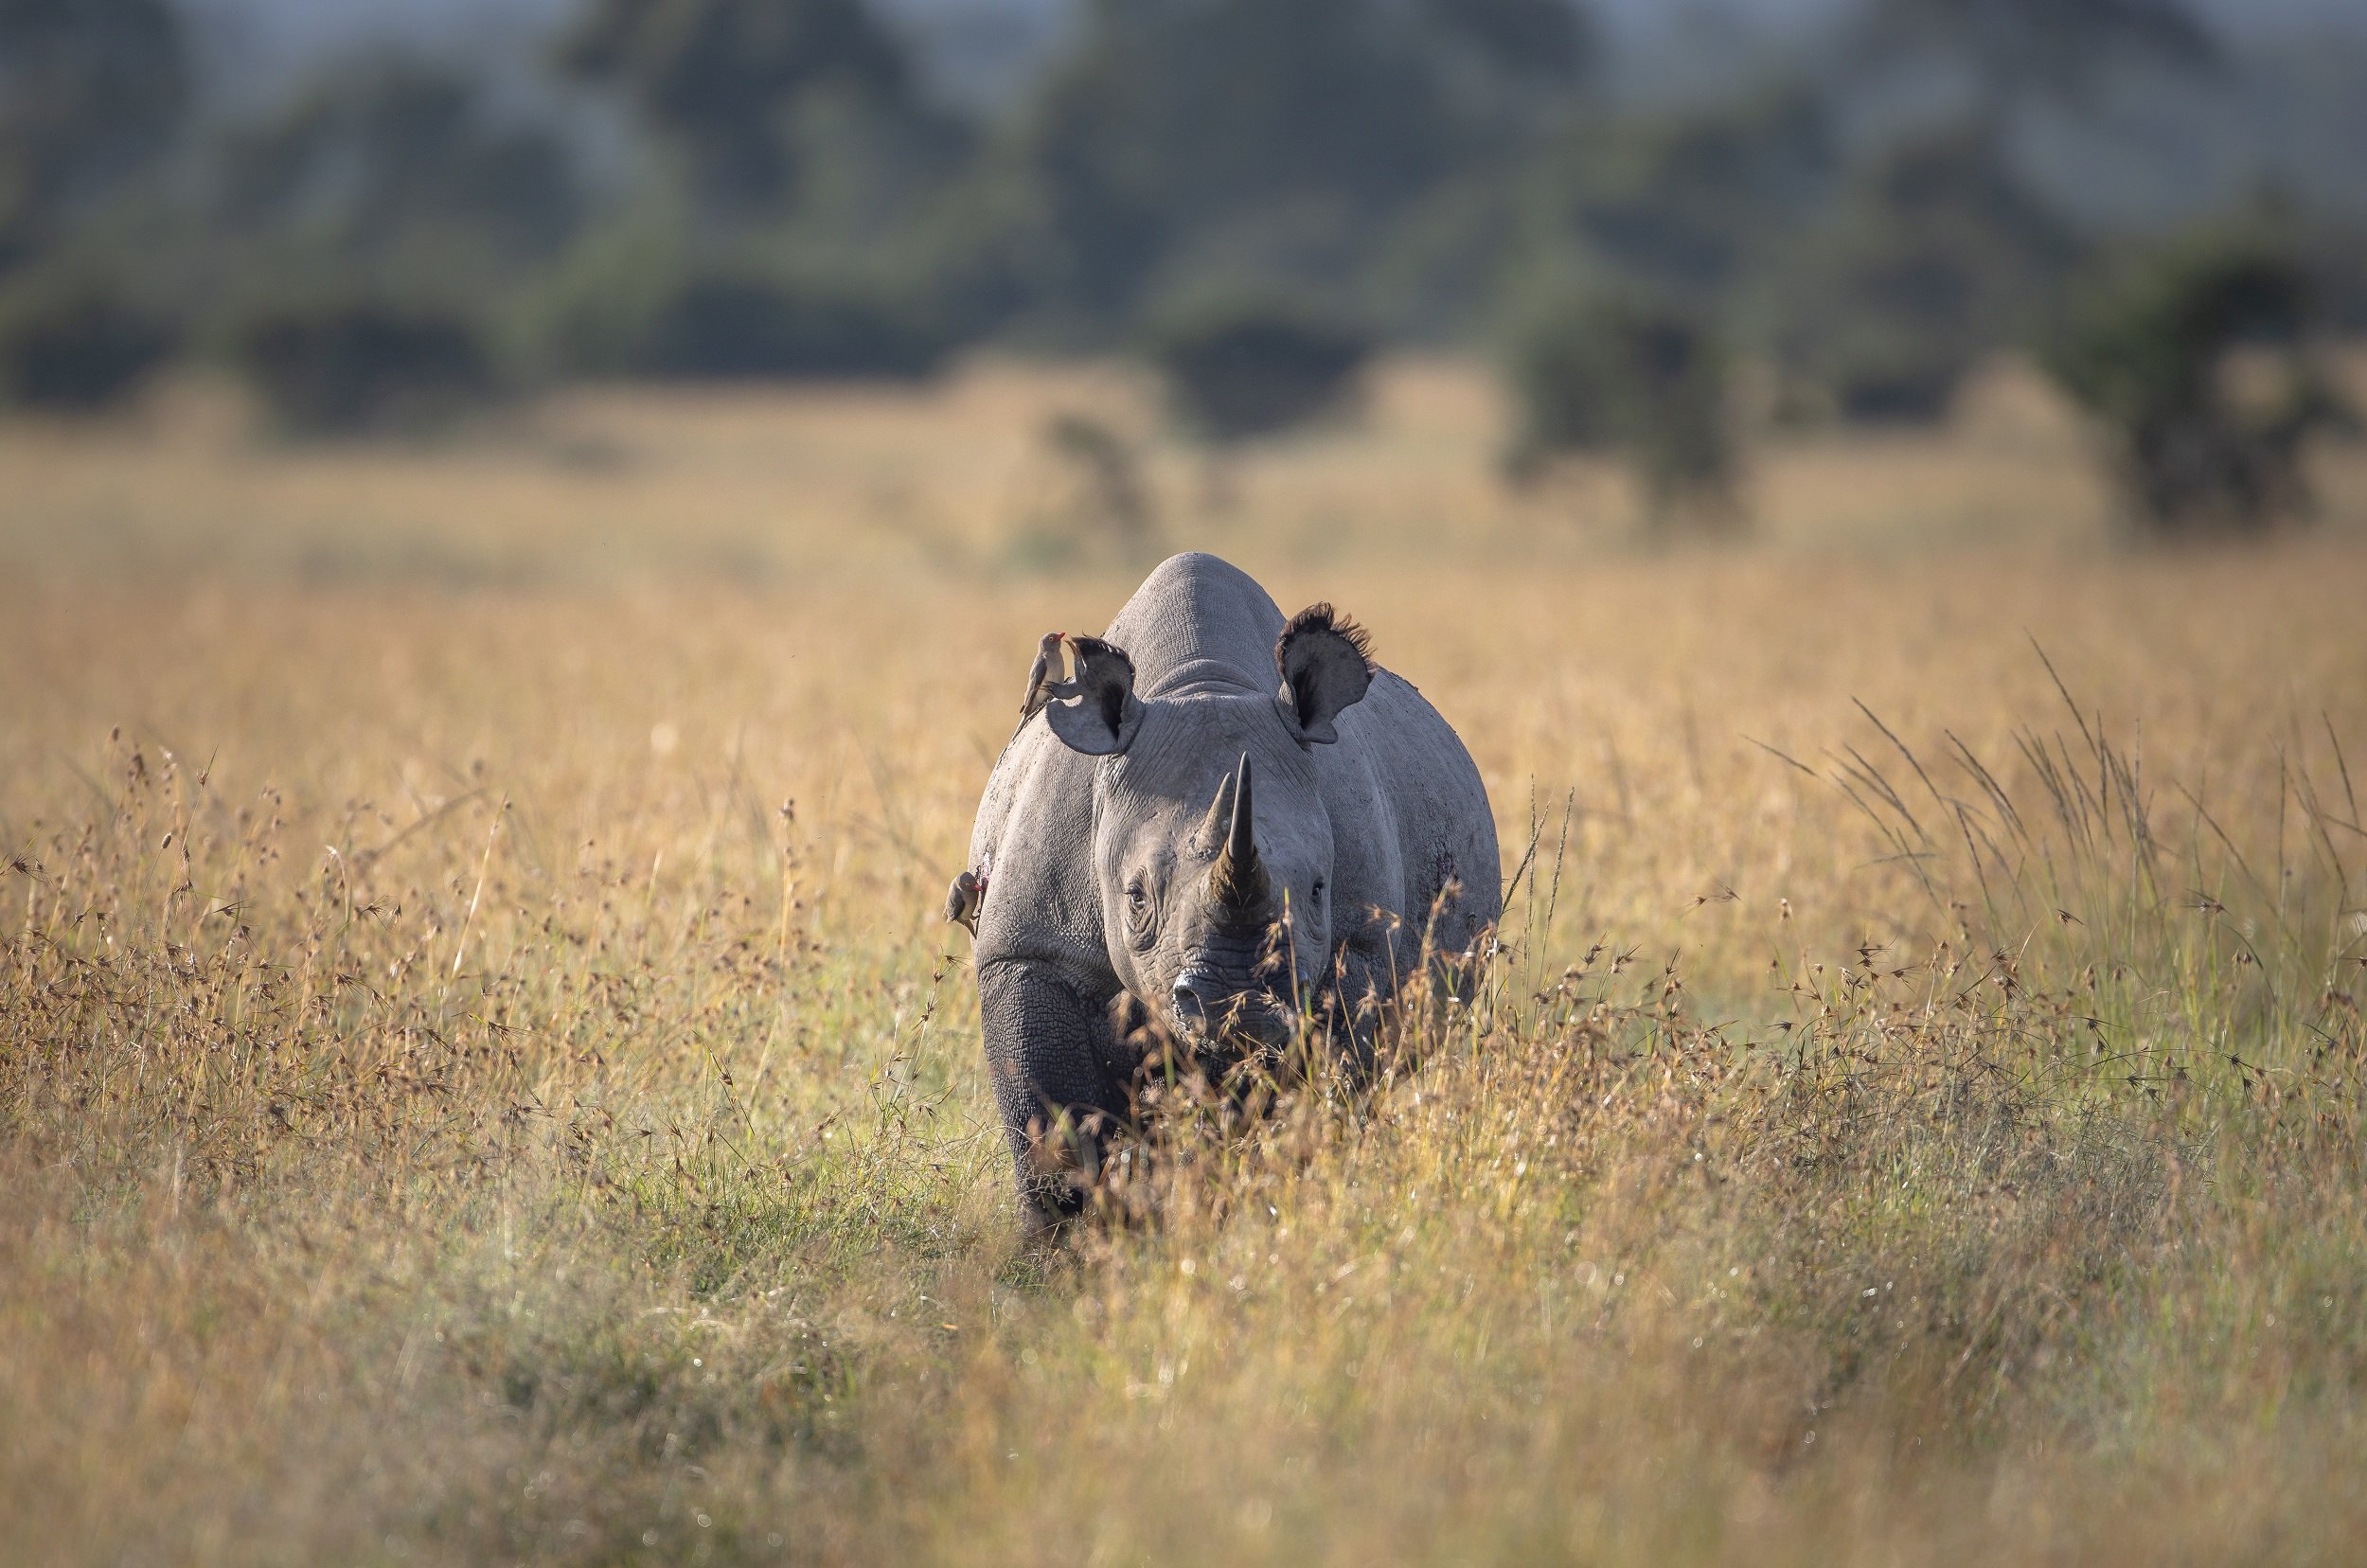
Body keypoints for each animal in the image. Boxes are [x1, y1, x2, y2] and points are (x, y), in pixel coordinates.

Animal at [957, 552, 1500, 1224]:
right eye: (1135, 898)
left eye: (1318, 891)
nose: (1236, 1006)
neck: (1201, 686)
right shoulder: (1033, 948)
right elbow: (1057, 1125)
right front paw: (1074, 1235)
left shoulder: (1362, 947)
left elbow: (1307, 1101)